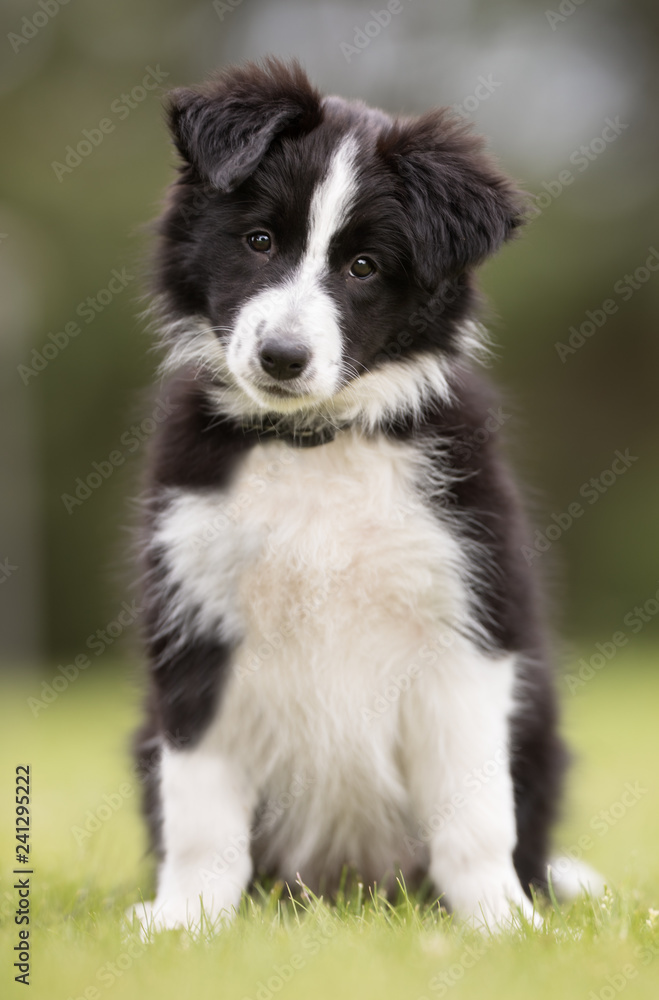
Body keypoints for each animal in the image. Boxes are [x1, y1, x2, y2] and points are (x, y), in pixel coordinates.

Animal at [130, 60, 568, 936]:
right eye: (259, 241)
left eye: (364, 267)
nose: (281, 356)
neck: (316, 442)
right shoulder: (197, 624)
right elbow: (199, 811)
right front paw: (186, 924)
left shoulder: (464, 625)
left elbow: (475, 812)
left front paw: (501, 927)